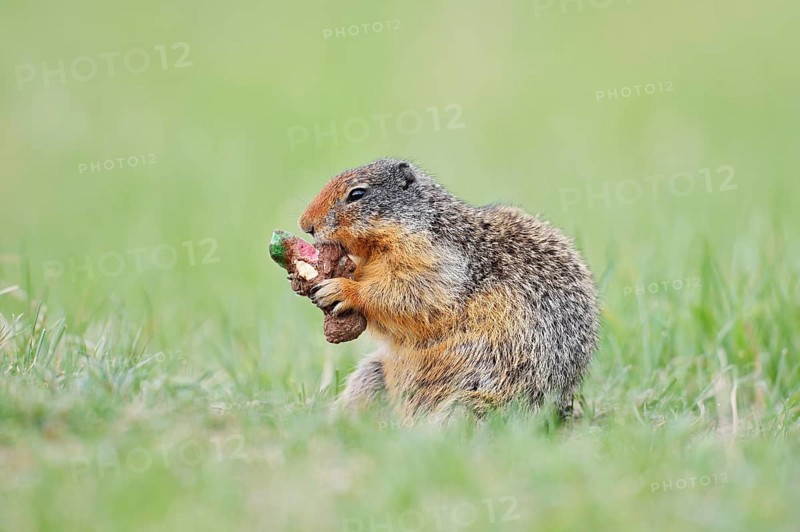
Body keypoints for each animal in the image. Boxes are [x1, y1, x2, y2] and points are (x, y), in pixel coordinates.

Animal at [299, 159, 599, 422]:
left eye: (357, 194)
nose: (305, 224)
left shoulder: (435, 261)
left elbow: (408, 295)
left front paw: (341, 288)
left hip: (473, 402)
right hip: (372, 374)